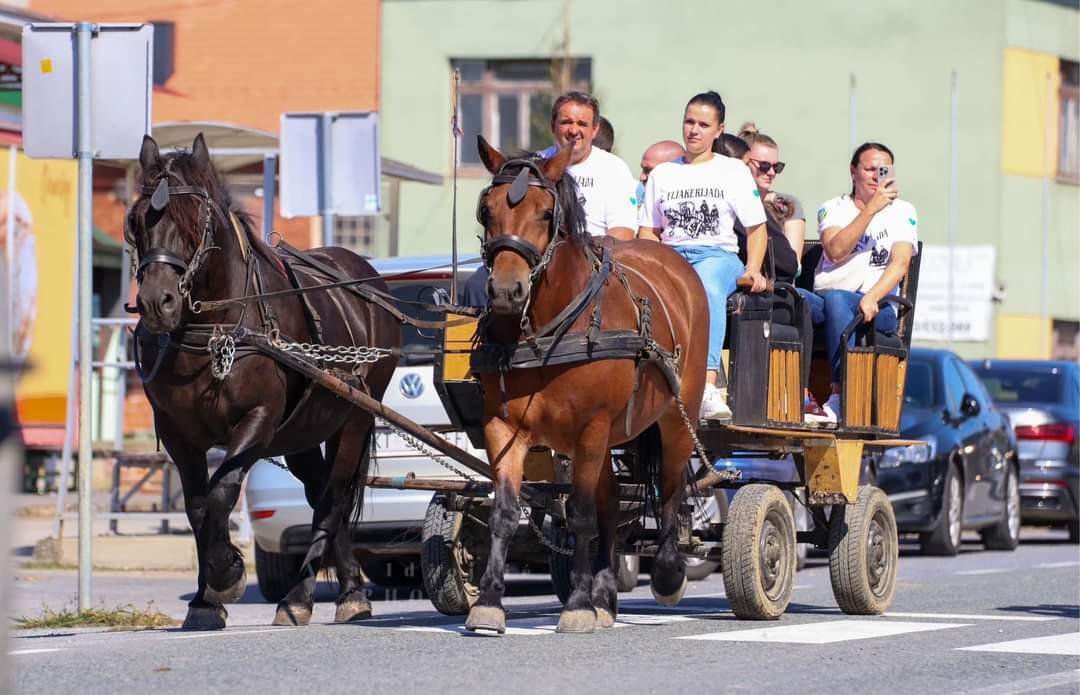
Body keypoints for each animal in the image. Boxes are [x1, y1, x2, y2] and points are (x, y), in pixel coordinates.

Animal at [126, 134, 397, 630]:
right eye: (136, 220)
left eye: (193, 219)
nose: (158, 302)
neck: (213, 326)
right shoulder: (178, 432)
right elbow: (196, 507)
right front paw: (205, 599)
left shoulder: (258, 419)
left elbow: (221, 494)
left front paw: (227, 573)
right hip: (304, 430)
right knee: (319, 493)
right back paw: (345, 589)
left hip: (353, 418)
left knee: (334, 496)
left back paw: (303, 597)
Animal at [464, 137, 708, 634]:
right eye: (487, 210)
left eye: (544, 213)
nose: (506, 291)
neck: (544, 329)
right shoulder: (503, 427)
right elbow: (504, 512)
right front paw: (491, 600)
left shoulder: (591, 427)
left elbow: (579, 514)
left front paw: (576, 604)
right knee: (612, 504)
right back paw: (605, 595)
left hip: (676, 414)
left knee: (671, 488)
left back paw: (667, 574)